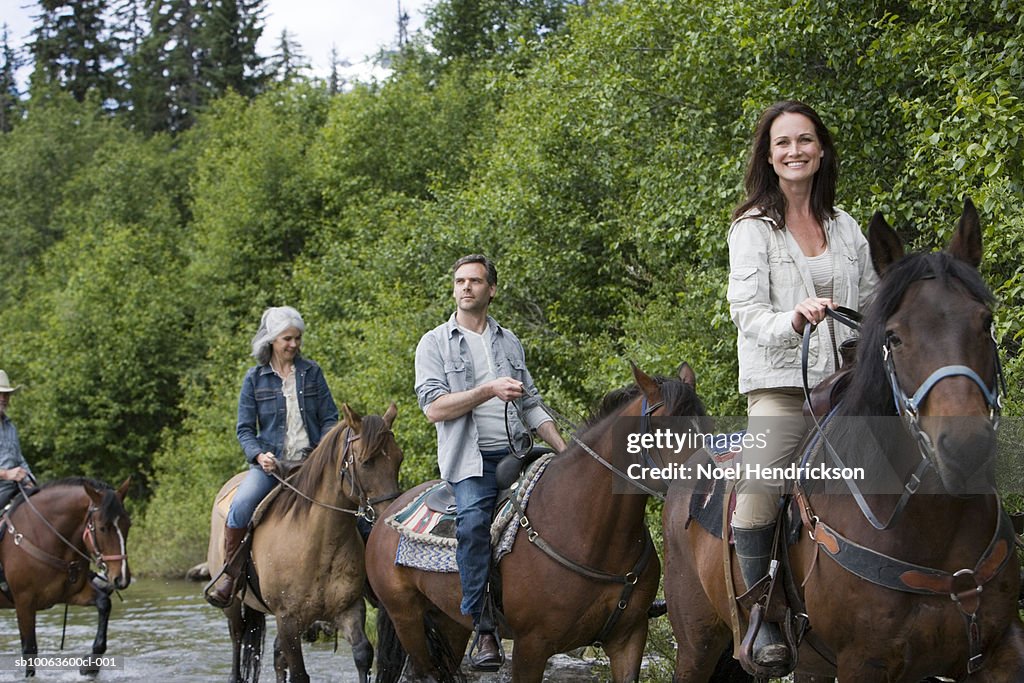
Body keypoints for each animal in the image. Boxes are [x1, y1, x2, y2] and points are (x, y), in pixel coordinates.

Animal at [0, 481, 132, 679]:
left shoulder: (72, 594)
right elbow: (29, 650)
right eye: (102, 527)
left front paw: (90, 666)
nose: (121, 579)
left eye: (128, 525)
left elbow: (104, 603)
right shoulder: (24, 602)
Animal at [207, 403, 403, 683]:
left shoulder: (349, 609)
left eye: (399, 459)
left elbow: (363, 654)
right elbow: (299, 673)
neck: (319, 544)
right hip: (233, 605)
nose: (390, 514)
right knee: (237, 640)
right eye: (366, 462)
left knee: (277, 657)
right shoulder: (287, 620)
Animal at [368, 366, 712, 683]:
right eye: (667, 429)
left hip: (449, 621)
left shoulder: (628, 639)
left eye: (704, 419)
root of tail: (388, 514)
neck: (588, 531)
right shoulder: (532, 646)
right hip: (406, 619)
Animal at [663, 200, 1024, 679]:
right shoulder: (863, 662)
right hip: (697, 646)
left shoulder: (1002, 648)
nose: (964, 446)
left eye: (985, 323)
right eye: (894, 336)